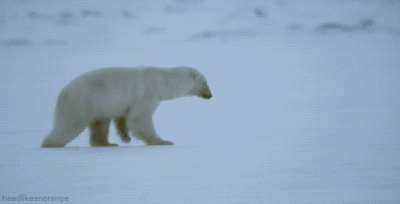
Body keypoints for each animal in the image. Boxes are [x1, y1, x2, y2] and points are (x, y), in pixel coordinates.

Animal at [41, 67, 212, 148]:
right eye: (205, 82)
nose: (210, 95)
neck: (162, 81)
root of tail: (63, 92)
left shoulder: (124, 102)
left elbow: (123, 117)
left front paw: (125, 137)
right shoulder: (146, 94)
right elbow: (139, 119)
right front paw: (163, 141)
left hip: (97, 104)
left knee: (100, 123)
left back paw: (107, 143)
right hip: (81, 102)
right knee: (70, 125)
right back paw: (50, 143)